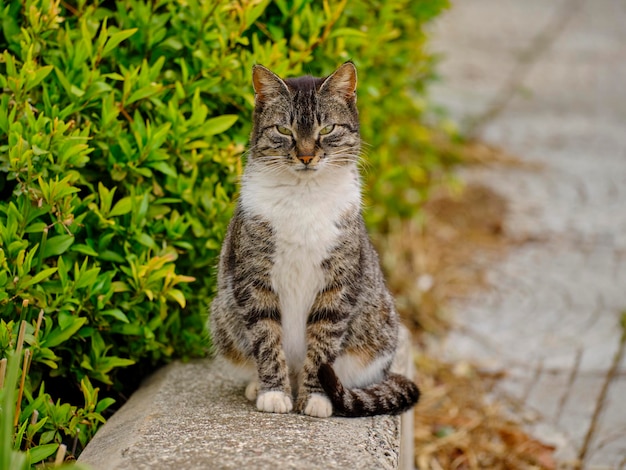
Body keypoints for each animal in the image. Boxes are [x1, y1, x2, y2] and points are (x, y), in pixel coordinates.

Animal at [210, 62, 420, 418]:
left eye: (327, 129)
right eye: (284, 130)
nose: (306, 156)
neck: (303, 196)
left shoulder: (338, 285)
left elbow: (322, 346)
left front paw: (317, 398)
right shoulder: (253, 280)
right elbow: (266, 338)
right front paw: (273, 393)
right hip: (223, 316)